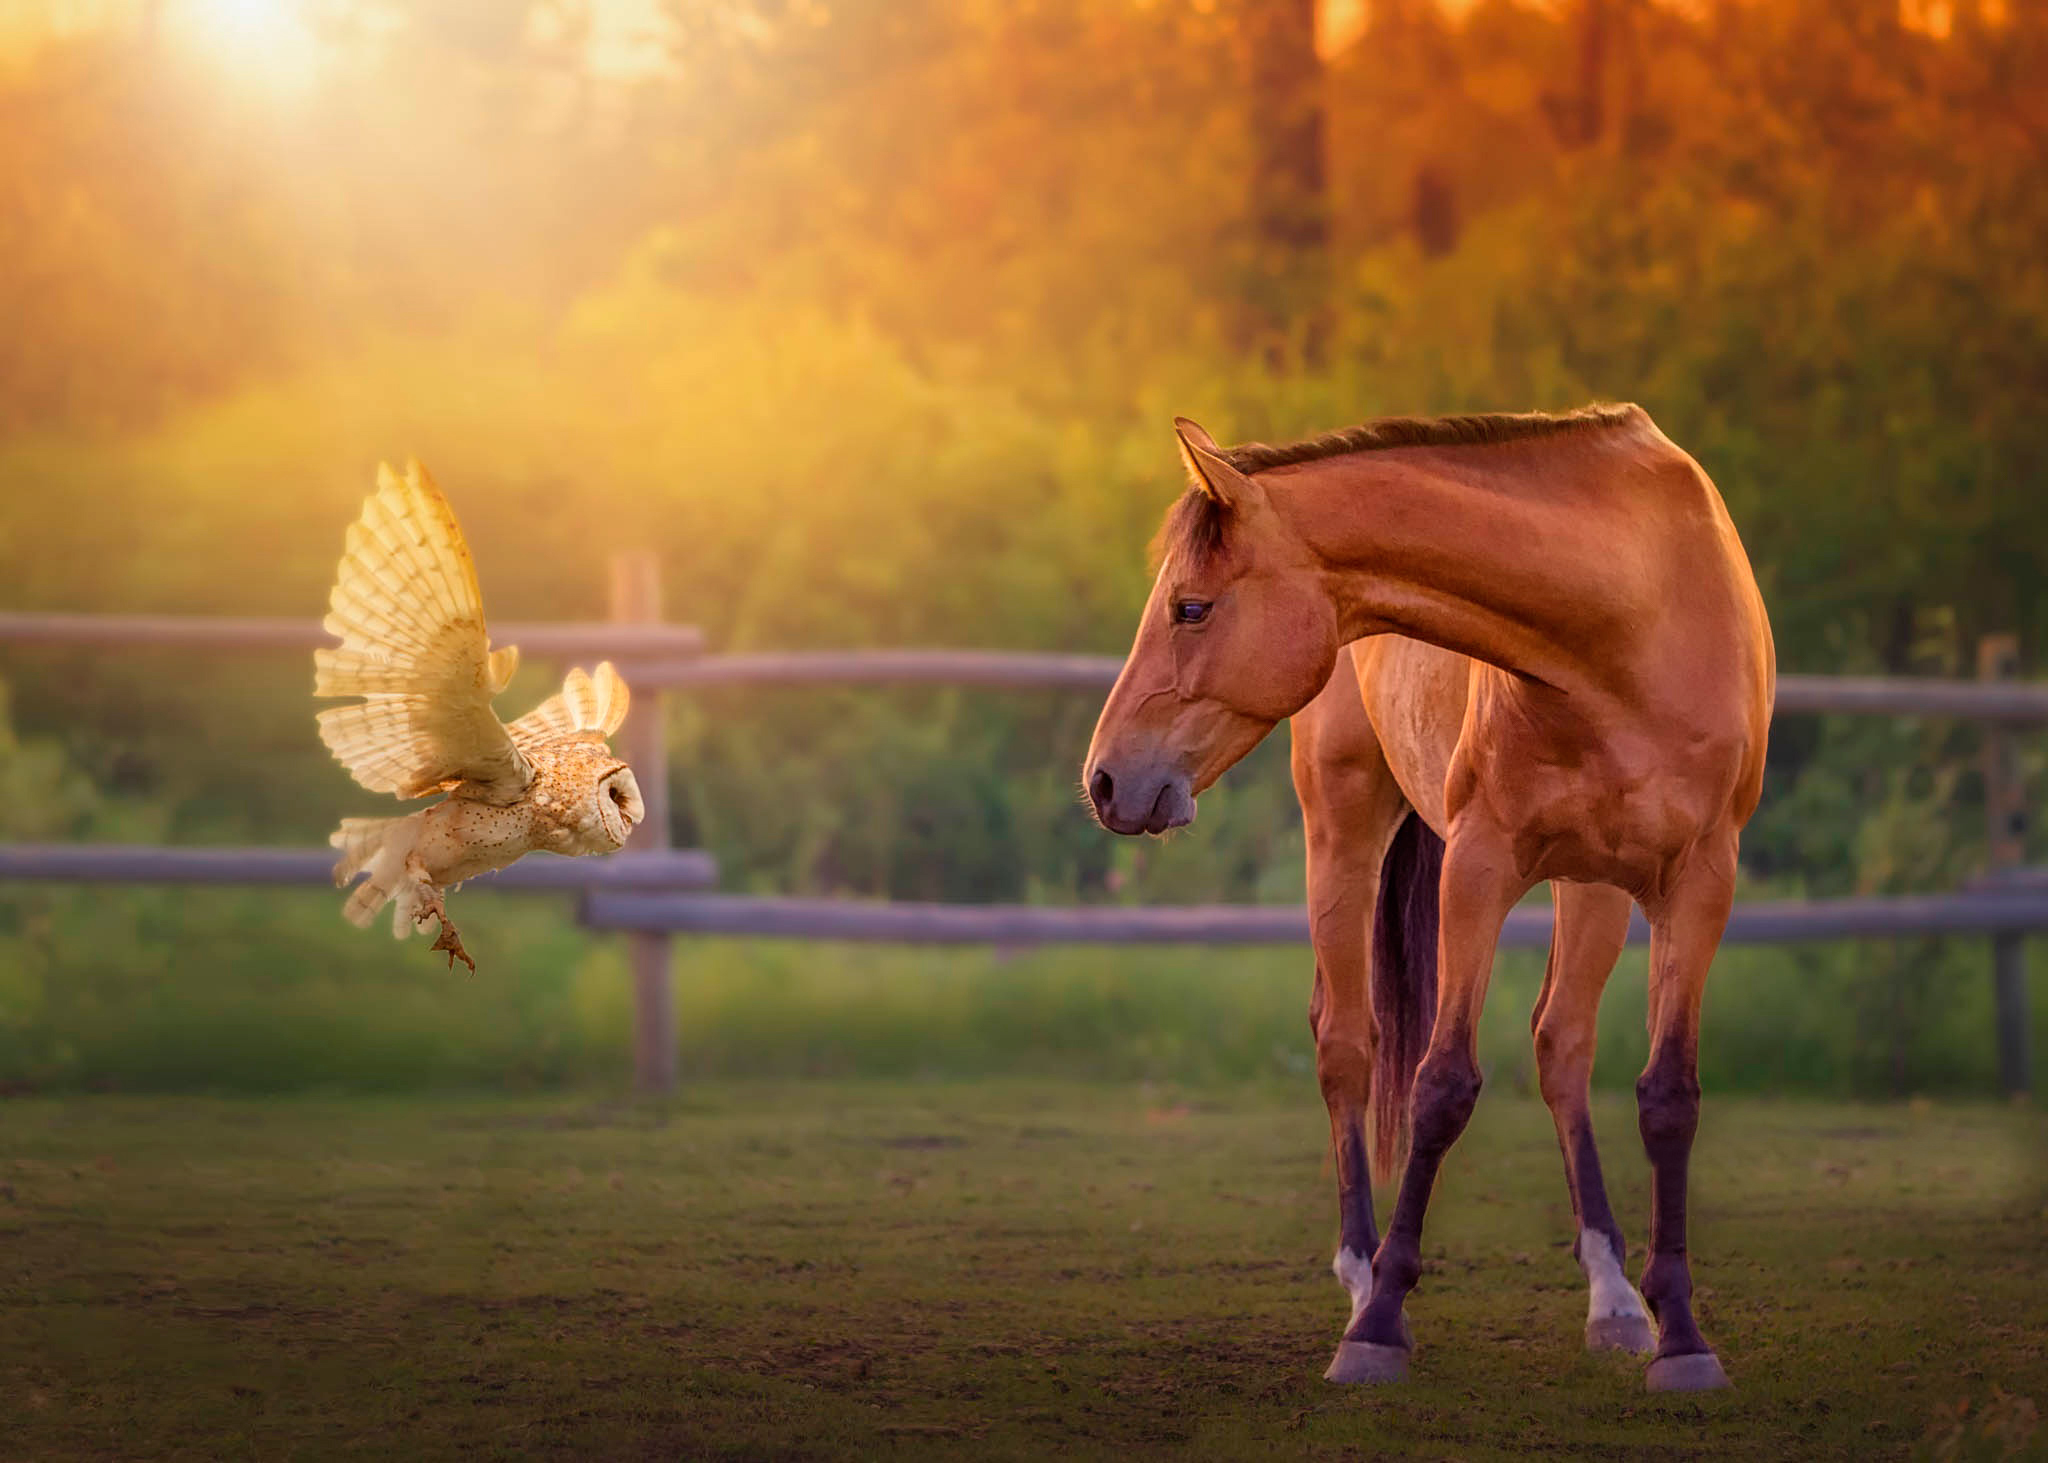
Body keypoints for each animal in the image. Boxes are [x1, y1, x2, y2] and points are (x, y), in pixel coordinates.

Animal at [1089, 407, 1777, 1393]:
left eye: (1190, 606)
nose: (1105, 780)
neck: (1630, 624)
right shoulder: (1477, 867)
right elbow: (1442, 1085)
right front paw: (1378, 1324)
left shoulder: (1700, 882)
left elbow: (1668, 1096)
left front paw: (1681, 1334)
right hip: (1343, 831)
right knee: (1346, 1041)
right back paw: (1360, 1271)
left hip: (1593, 886)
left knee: (1561, 1044)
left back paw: (1613, 1298)